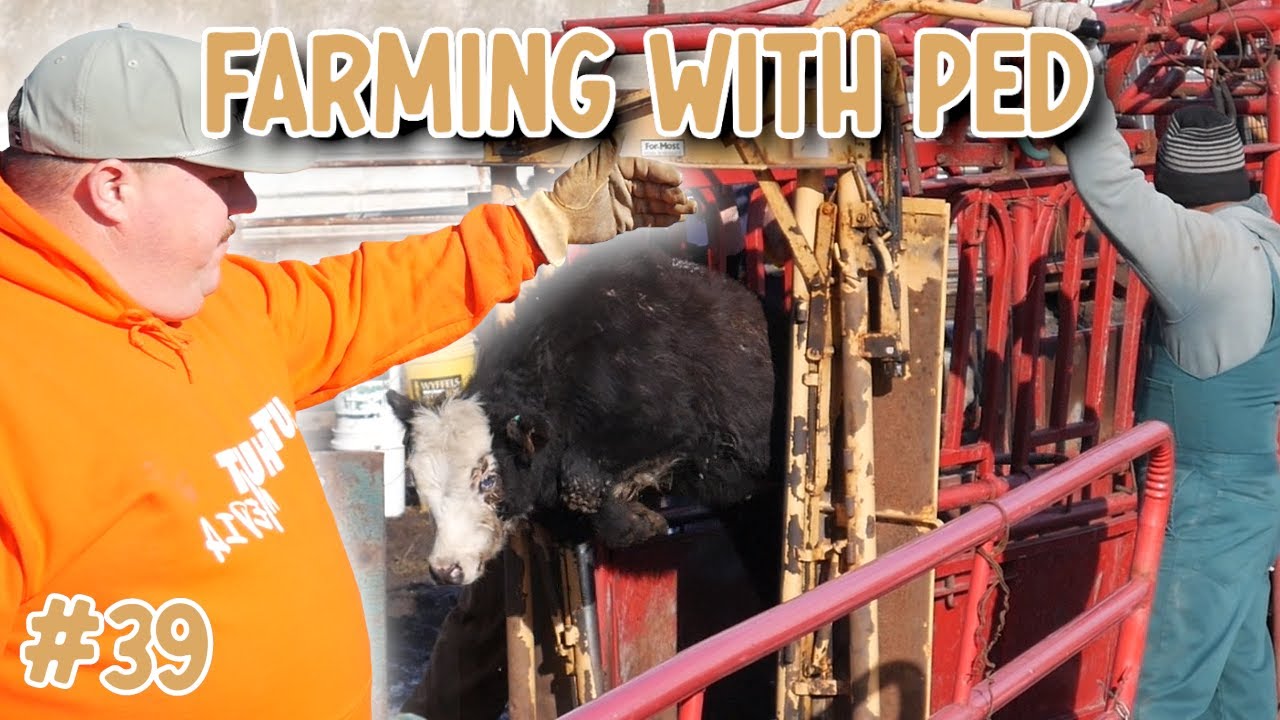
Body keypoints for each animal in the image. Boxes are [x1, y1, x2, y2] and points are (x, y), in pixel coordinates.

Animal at [387, 236, 782, 587]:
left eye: (488, 480)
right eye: (417, 484)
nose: (445, 570)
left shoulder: (667, 430)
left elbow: (580, 478)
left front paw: (639, 523)